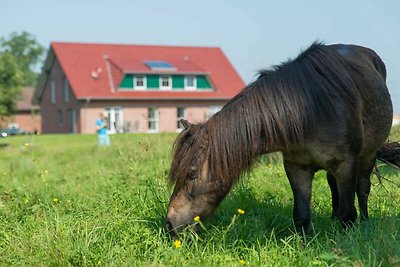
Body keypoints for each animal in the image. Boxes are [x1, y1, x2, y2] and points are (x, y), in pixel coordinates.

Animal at [166, 41, 400, 234]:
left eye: (192, 174)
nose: (170, 224)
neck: (309, 109)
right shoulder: (297, 167)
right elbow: (301, 215)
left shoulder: (346, 164)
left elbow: (348, 213)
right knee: (333, 184)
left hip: (367, 156)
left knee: (363, 188)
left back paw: (365, 223)